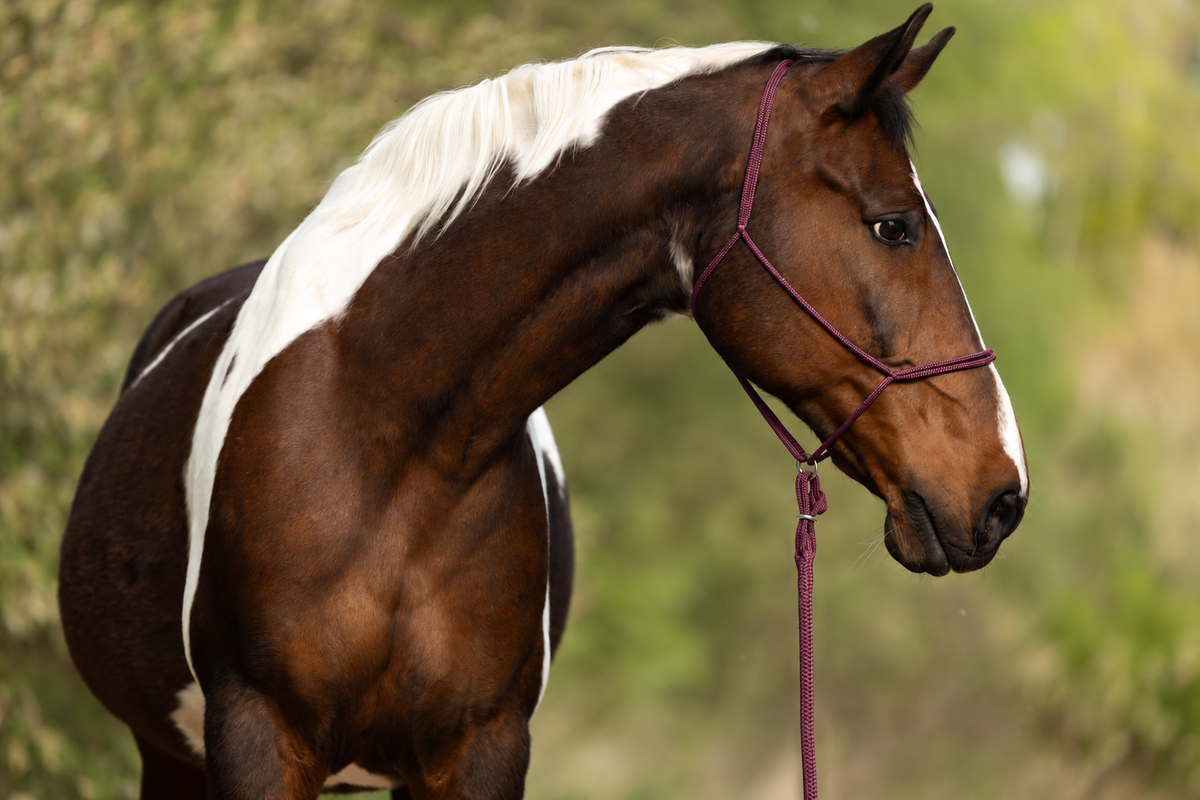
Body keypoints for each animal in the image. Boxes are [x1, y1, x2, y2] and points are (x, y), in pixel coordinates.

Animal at [58, 5, 1028, 798]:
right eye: (893, 225)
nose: (1004, 493)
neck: (388, 441)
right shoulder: (257, 739)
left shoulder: (480, 751)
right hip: (170, 758)